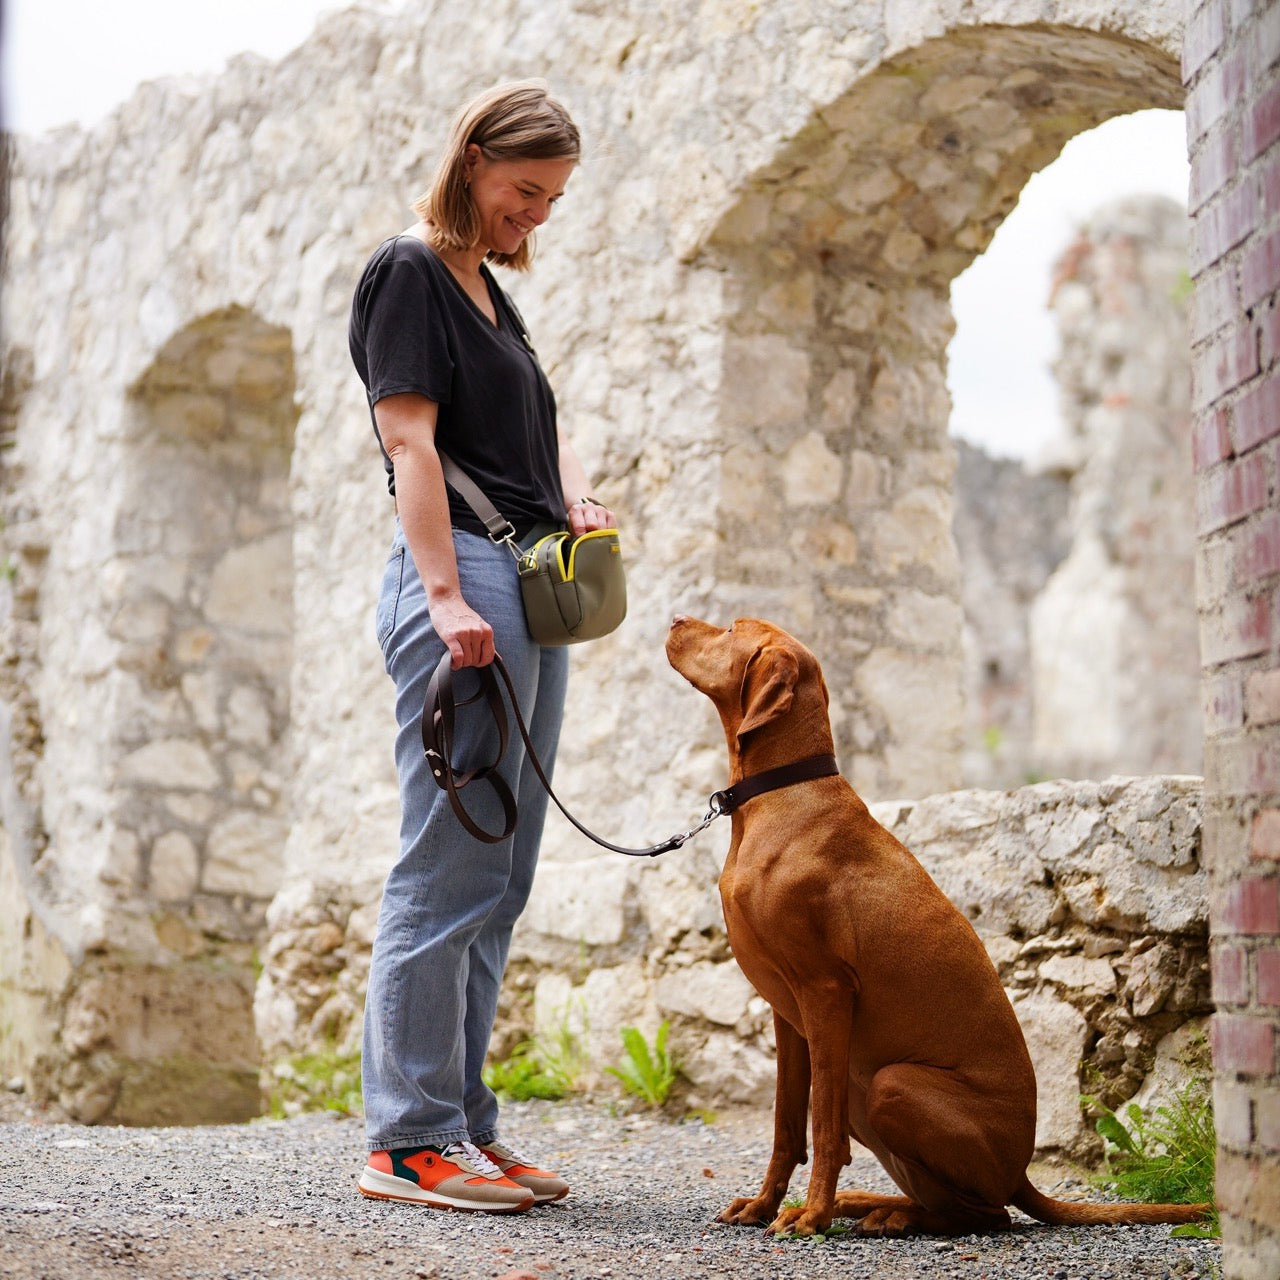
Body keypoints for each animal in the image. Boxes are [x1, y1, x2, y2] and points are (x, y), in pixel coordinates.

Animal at [660, 619, 1208, 1239]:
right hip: (864, 1092)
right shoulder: (788, 1014)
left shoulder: (825, 993)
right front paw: (764, 1205)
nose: (675, 620)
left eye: (731, 627)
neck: (781, 796)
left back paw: (876, 1213)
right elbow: (785, 1127)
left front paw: (812, 1215)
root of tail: (1020, 1172)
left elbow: (821, 1130)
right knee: (955, 1202)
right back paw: (871, 1205)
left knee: (989, 1215)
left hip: (890, 1083)